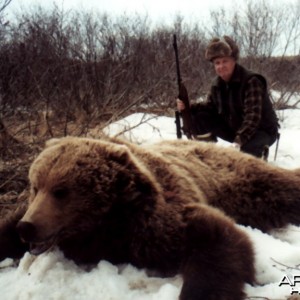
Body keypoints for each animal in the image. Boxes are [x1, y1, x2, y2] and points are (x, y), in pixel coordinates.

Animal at [0, 137, 300, 300]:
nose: (28, 227)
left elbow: (216, 237)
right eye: (35, 186)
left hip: (248, 186)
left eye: (61, 191)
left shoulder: (154, 225)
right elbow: (5, 227)